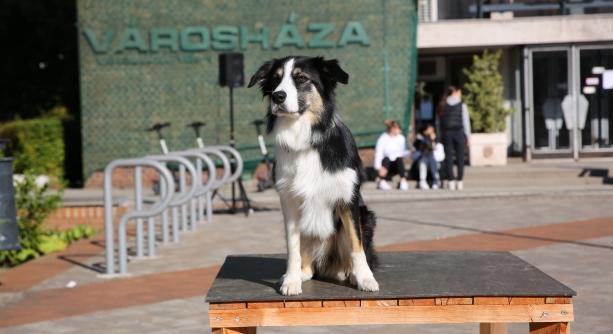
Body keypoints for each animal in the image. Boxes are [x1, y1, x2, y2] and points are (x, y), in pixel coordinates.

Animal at [249, 56, 378, 294]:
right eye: (275, 80)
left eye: (301, 78)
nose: (278, 96)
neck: (305, 138)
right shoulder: (289, 201)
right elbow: (293, 247)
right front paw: (291, 281)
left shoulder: (347, 199)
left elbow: (356, 245)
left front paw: (365, 278)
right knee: (308, 262)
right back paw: (301, 274)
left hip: (366, 217)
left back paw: (350, 274)